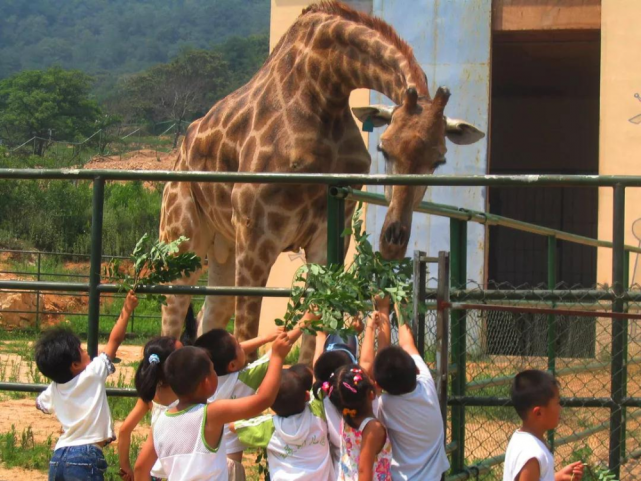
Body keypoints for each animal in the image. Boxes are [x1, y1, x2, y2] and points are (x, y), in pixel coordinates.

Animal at [158, 0, 482, 360]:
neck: (325, 90)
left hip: (223, 249)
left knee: (209, 314)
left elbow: (314, 331)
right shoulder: (256, 232)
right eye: (383, 148)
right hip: (182, 239)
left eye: (438, 161)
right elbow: (248, 338)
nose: (392, 241)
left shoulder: (327, 235)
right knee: (174, 314)